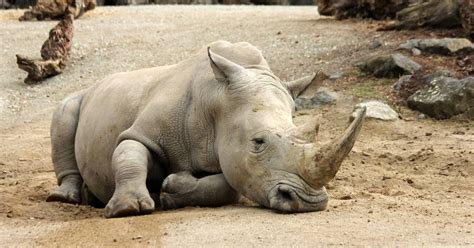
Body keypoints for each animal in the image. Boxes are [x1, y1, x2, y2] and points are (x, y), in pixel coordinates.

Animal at [48, 40, 366, 217]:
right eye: (258, 142)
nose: (308, 202)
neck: (216, 102)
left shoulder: (234, 159)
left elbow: (226, 188)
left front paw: (170, 189)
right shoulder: (144, 132)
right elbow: (129, 151)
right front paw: (127, 208)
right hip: (82, 96)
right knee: (64, 113)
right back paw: (65, 199)